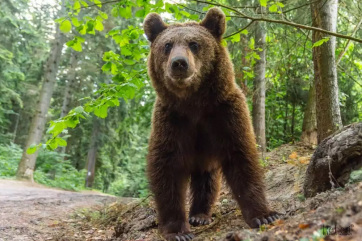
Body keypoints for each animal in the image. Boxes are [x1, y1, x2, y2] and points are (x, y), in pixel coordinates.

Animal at [143, 7, 278, 241]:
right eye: (167, 45)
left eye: (194, 44)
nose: (179, 63)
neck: (194, 102)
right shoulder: (172, 120)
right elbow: (167, 168)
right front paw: (177, 231)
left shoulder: (224, 114)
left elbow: (241, 157)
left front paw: (264, 215)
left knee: (207, 181)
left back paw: (200, 215)